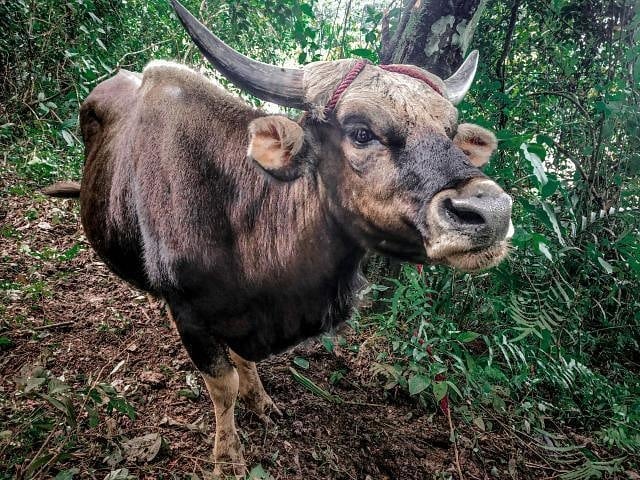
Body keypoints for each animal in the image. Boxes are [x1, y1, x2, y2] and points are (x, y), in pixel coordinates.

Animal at [44, 0, 513, 476]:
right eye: (361, 132)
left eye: (450, 133)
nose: (491, 213)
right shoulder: (190, 315)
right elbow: (223, 384)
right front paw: (228, 456)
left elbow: (245, 364)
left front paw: (261, 401)